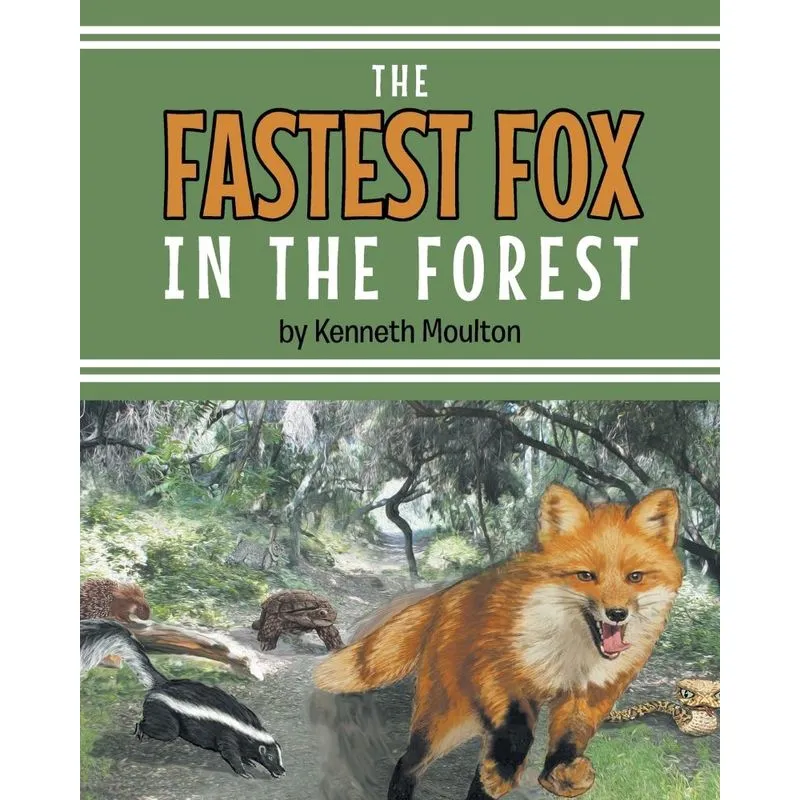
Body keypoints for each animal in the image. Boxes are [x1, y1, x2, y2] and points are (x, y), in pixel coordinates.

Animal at [314, 484, 684, 800]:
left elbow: (569, 741)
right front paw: (507, 770)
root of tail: (450, 593)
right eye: (586, 576)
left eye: (634, 577)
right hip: (448, 720)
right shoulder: (498, 672)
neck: (570, 653)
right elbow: (516, 732)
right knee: (408, 762)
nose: (617, 613)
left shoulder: (590, 694)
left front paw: (559, 774)